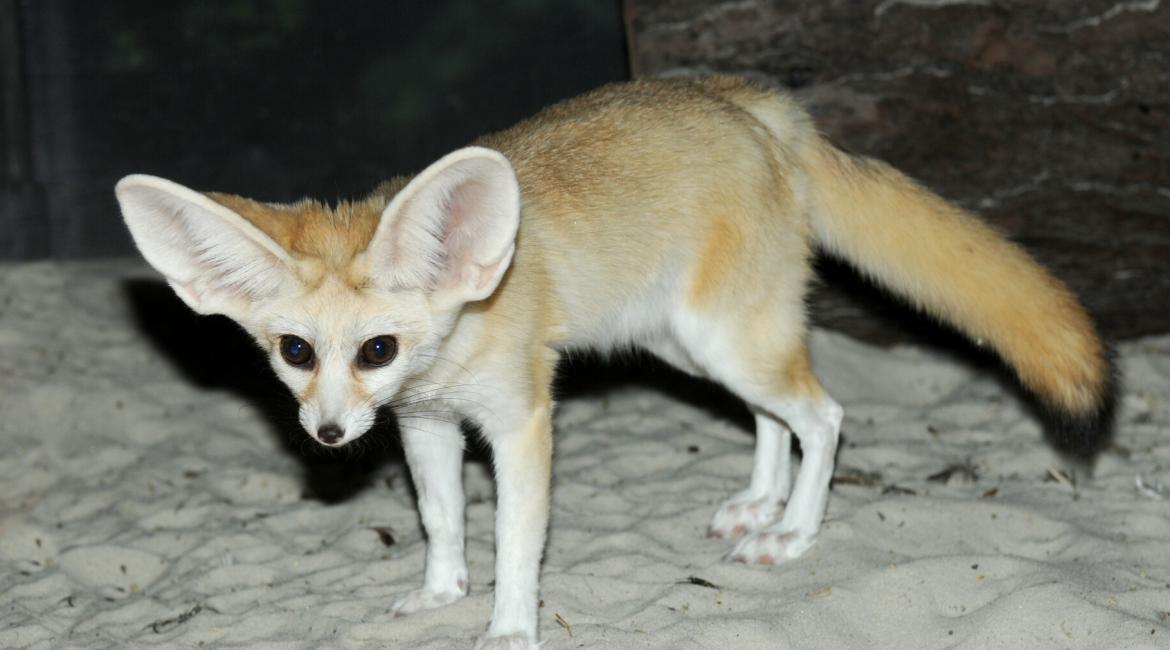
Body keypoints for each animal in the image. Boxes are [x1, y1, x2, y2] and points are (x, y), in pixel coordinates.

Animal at [115, 76, 1112, 649]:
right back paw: (759, 504)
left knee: (824, 416)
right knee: (775, 417)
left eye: (375, 349)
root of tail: (753, 106)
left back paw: (791, 533)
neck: (464, 329)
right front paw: (439, 594)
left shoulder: (519, 422)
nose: (325, 433)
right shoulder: (426, 424)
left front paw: (509, 627)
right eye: (293, 352)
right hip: (696, 344)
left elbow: (517, 541)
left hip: (724, 340)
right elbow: (442, 523)